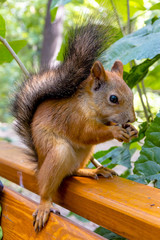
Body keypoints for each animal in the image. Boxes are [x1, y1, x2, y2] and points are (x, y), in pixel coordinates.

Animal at [11, 14, 138, 231]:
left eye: (131, 92)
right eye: (113, 98)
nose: (132, 118)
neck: (90, 105)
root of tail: (40, 163)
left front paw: (133, 130)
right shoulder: (73, 118)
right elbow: (87, 133)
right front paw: (116, 132)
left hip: (84, 152)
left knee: (72, 171)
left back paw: (94, 170)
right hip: (57, 153)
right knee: (47, 187)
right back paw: (44, 205)